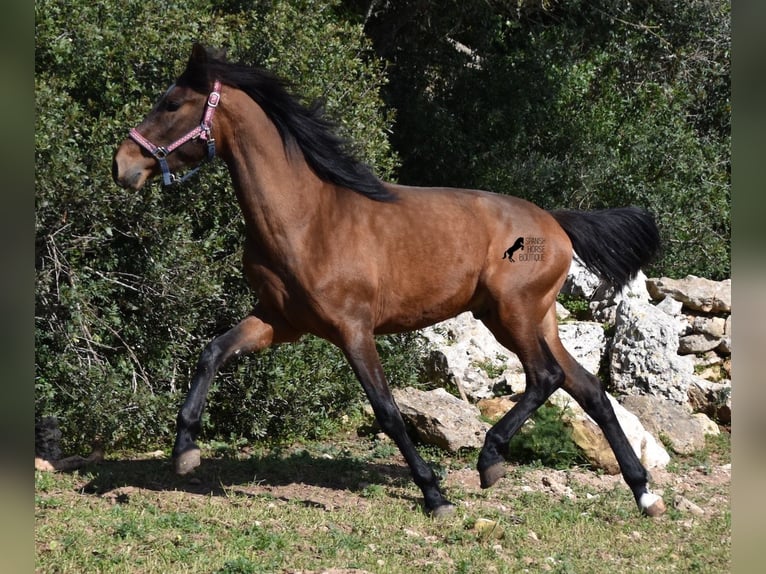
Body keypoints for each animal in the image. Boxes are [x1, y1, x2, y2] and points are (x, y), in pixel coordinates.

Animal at [112, 45, 664, 520]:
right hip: (531, 318)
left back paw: (491, 461)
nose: (123, 165)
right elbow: (212, 352)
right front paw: (185, 451)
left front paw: (435, 494)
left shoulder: (353, 330)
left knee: (545, 378)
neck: (307, 220)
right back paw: (644, 494)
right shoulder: (278, 321)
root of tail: (555, 222)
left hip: (512, 315)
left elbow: (388, 411)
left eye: (172, 104)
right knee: (589, 390)